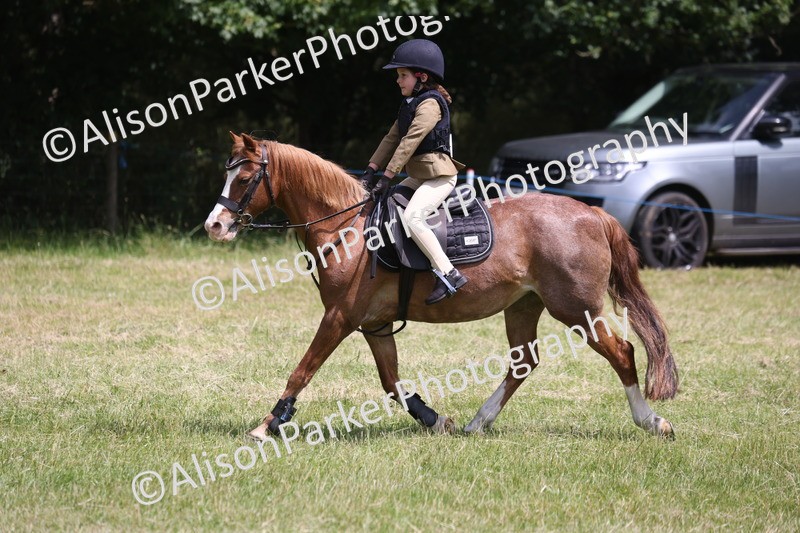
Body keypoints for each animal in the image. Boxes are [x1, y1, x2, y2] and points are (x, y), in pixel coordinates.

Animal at [204, 132, 679, 442]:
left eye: (243, 179)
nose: (215, 226)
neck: (348, 227)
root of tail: (592, 214)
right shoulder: (373, 324)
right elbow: (391, 382)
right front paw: (435, 420)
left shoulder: (339, 317)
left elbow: (303, 369)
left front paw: (267, 425)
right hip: (524, 306)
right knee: (524, 362)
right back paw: (477, 423)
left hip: (577, 309)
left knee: (622, 353)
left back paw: (653, 423)